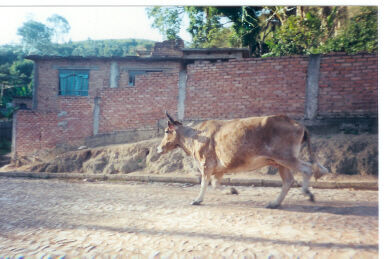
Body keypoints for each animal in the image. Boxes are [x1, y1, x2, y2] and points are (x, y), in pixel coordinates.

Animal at [157, 113, 328, 209]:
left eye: (166, 131)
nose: (159, 148)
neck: (195, 135)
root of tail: (298, 124)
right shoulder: (219, 169)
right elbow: (215, 184)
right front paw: (232, 190)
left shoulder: (206, 164)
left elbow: (205, 183)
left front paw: (197, 200)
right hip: (280, 162)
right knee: (289, 180)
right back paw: (275, 203)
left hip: (286, 157)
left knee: (307, 169)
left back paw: (307, 193)